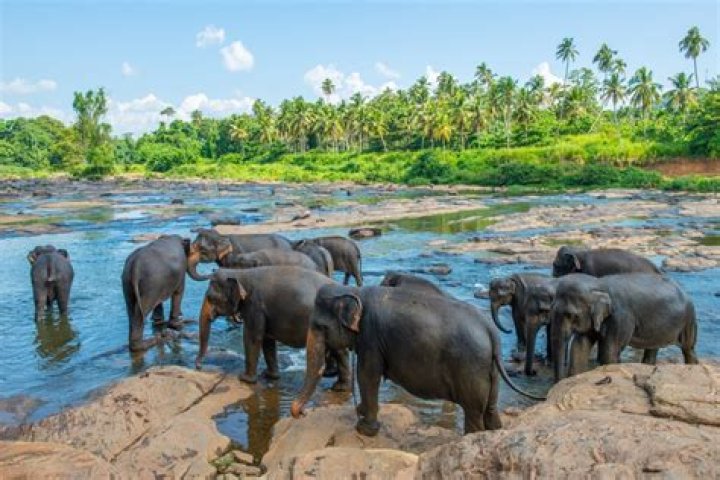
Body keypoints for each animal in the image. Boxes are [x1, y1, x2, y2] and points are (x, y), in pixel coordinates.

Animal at [195, 266, 351, 390]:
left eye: (210, 297)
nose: (198, 367)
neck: (240, 273)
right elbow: (267, 340)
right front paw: (269, 376)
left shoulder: (255, 306)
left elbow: (252, 337)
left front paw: (245, 379)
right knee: (338, 350)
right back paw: (336, 382)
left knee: (338, 350)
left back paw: (336, 384)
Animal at [290, 284, 545, 436]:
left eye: (321, 327)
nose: (301, 414)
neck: (355, 291)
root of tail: (491, 331)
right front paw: (361, 413)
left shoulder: (371, 337)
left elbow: (367, 375)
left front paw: (363, 429)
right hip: (490, 370)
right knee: (490, 409)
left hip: (471, 368)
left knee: (474, 413)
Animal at [550, 273, 698, 382]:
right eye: (552, 310)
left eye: (571, 315)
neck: (599, 284)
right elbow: (579, 346)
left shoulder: (621, 317)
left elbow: (608, 352)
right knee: (652, 348)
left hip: (688, 319)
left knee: (688, 348)